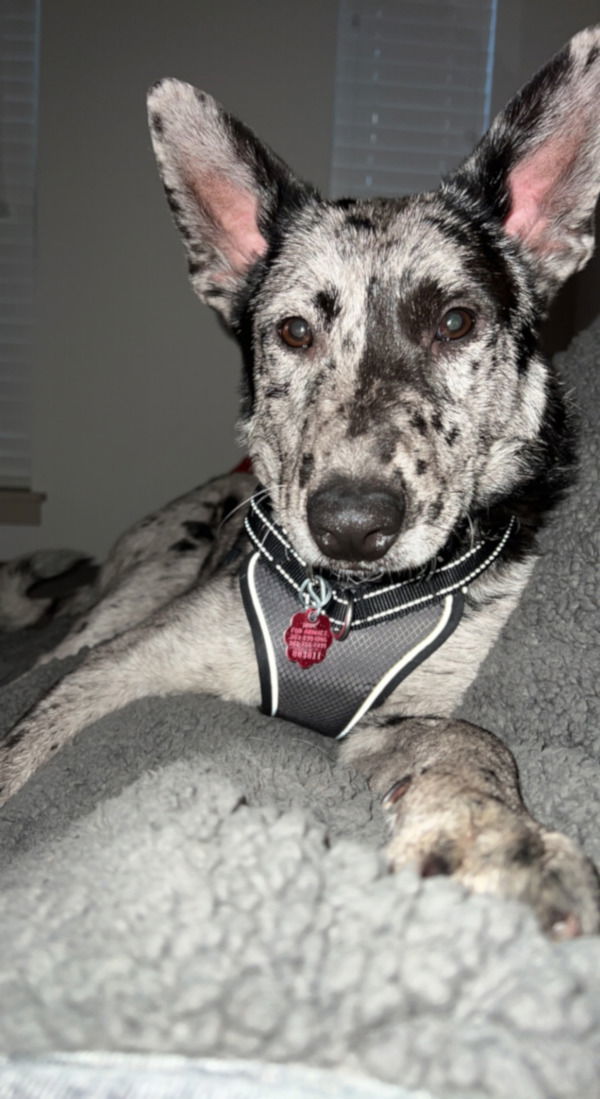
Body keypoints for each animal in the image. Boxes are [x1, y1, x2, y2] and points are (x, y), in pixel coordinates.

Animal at [3, 25, 597, 936]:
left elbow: (466, 743)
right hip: (129, 598)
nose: (350, 523)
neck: (341, 609)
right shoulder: (114, 671)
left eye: (456, 321)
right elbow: (28, 735)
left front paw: (498, 840)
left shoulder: (402, 714)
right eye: (293, 332)